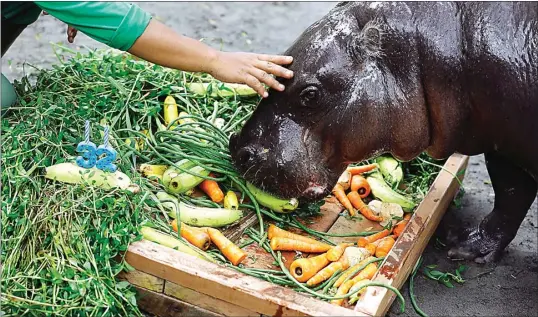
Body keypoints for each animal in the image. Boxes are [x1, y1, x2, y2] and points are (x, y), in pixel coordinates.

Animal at [227, 1, 536, 262]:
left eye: (311, 94)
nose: (238, 147)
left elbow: (511, 195)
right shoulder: (502, 150)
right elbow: (510, 196)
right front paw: (466, 249)